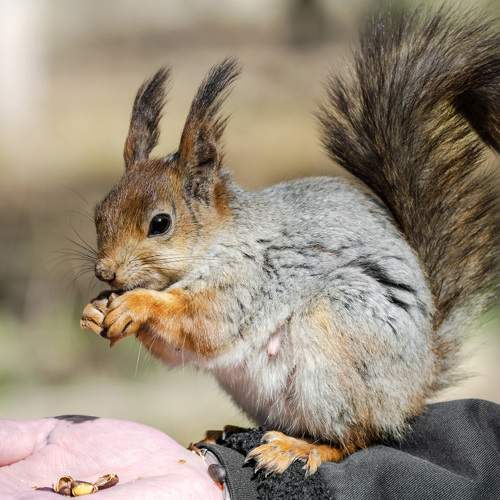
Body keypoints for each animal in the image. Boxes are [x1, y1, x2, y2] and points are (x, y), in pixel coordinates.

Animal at [80, 8, 499, 476]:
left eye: (160, 223)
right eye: (99, 212)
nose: (104, 271)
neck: (219, 242)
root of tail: (418, 381)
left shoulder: (250, 278)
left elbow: (204, 324)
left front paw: (136, 304)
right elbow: (178, 350)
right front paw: (95, 310)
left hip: (336, 336)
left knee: (357, 436)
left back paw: (300, 448)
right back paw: (228, 432)